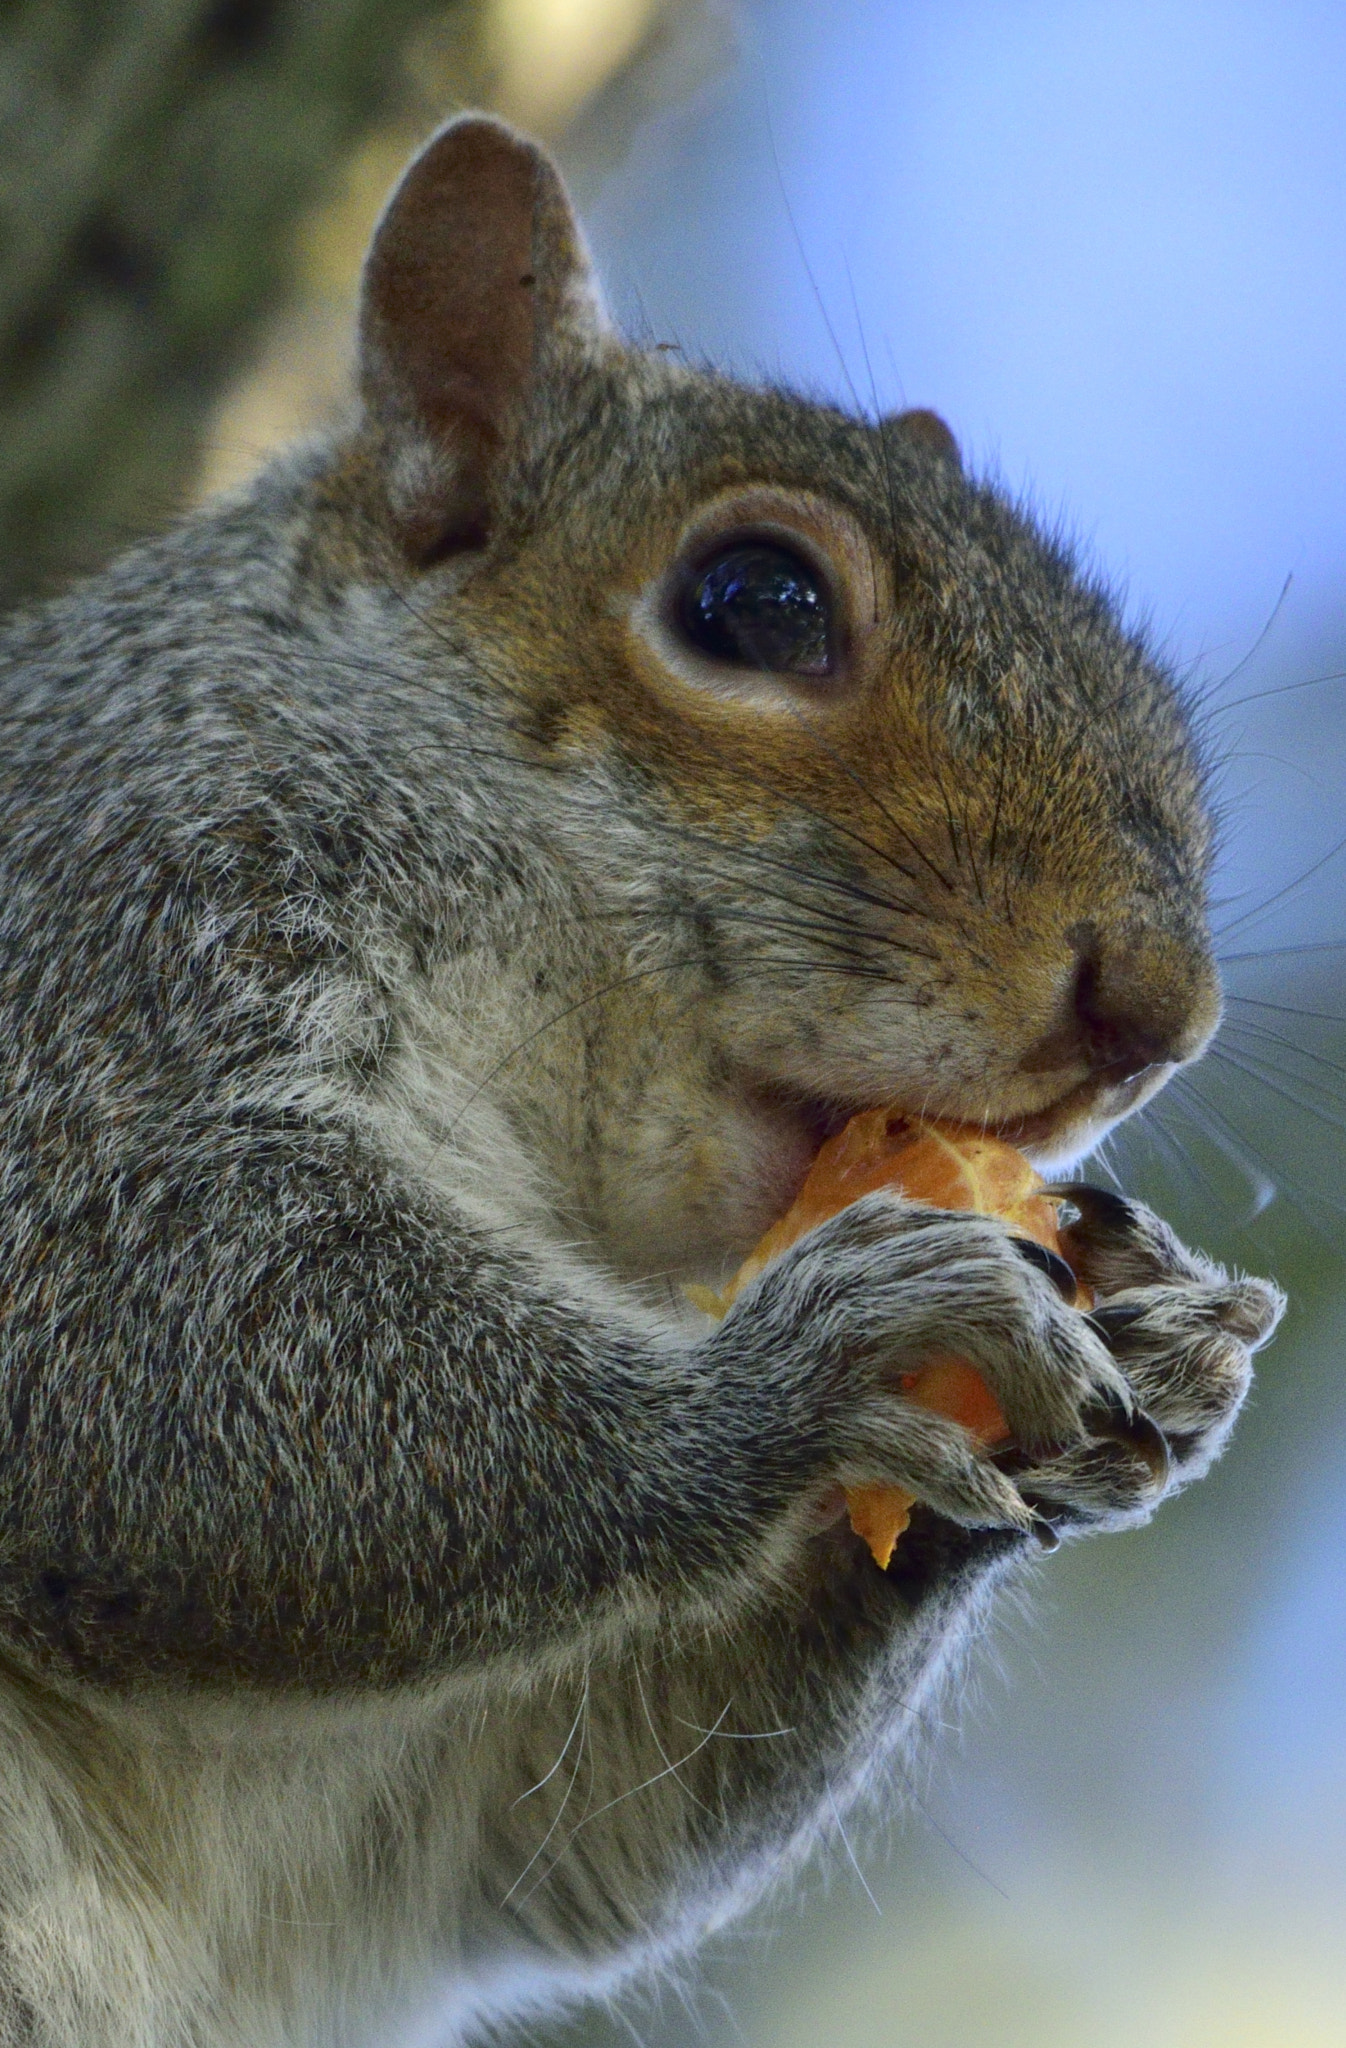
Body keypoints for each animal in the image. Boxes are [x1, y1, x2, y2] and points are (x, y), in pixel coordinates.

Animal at [0, 116, 1278, 2048]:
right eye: (757, 601)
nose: (1154, 1012)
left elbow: (550, 1818)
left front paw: (1154, 1337)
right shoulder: (95, 930)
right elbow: (109, 1334)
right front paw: (797, 1376)